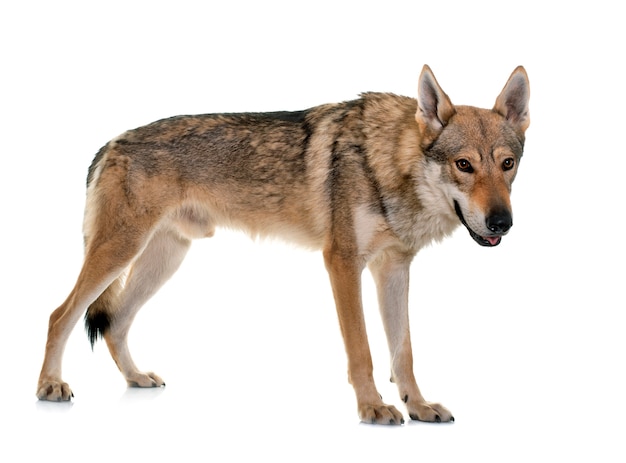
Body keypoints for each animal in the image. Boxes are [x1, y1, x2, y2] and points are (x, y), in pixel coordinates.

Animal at [37, 63, 528, 426]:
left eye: (507, 165)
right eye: (464, 165)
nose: (502, 222)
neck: (387, 162)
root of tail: (110, 143)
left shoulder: (393, 269)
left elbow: (403, 352)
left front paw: (418, 406)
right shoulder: (342, 264)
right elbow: (363, 351)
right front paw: (372, 407)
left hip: (162, 260)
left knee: (115, 323)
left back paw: (135, 377)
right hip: (119, 253)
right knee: (61, 315)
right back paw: (50, 386)